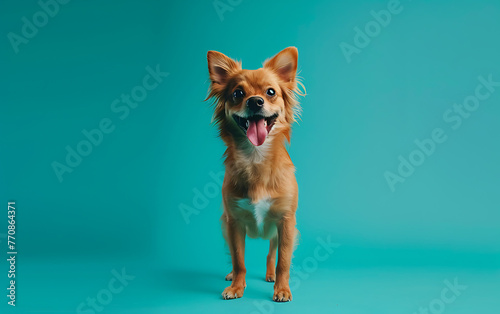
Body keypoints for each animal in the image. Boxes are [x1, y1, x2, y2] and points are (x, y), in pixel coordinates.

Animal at [205, 46, 302, 302]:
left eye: (270, 92)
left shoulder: (286, 222)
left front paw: (282, 289)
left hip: (278, 232)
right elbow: (239, 260)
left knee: (271, 253)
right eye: (238, 93)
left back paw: (270, 276)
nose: (256, 101)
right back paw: (231, 276)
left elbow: (283, 261)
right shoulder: (234, 223)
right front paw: (237, 287)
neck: (255, 157)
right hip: (225, 226)